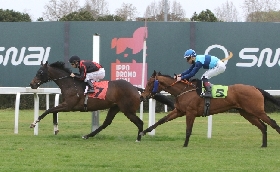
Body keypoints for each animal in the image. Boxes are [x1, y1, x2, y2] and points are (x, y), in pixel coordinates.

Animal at [28, 61, 173, 142]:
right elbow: (52, 112)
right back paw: (87, 136)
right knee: (106, 123)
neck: (70, 83)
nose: (32, 84)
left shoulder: (69, 105)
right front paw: (56, 129)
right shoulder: (66, 105)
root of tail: (135, 88)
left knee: (139, 122)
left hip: (127, 110)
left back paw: (138, 138)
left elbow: (48, 110)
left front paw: (34, 123)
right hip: (115, 107)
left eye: (40, 72)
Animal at [141, 70, 280, 147]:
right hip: (246, 113)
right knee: (263, 126)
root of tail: (256, 88)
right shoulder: (179, 111)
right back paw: (263, 145)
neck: (184, 91)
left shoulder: (190, 112)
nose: (143, 96)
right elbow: (161, 120)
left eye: (149, 83)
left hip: (257, 110)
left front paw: (185, 144)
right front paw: (143, 132)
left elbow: (188, 130)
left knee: (272, 123)